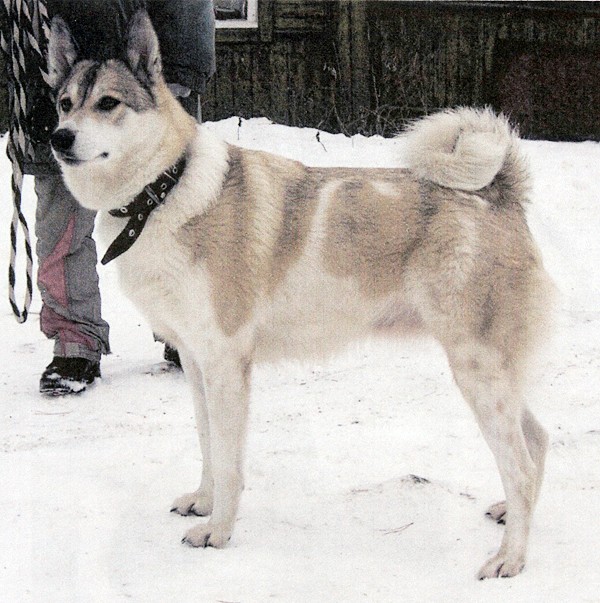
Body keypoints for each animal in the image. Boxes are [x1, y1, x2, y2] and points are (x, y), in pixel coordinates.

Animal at [47, 11, 553, 579]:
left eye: (108, 103)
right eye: (65, 102)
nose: (59, 138)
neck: (162, 192)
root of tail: (500, 192)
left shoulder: (226, 363)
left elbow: (228, 459)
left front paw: (218, 532)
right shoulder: (197, 362)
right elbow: (207, 445)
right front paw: (203, 502)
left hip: (477, 369)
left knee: (520, 463)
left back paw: (510, 559)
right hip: (495, 374)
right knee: (536, 443)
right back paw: (511, 515)